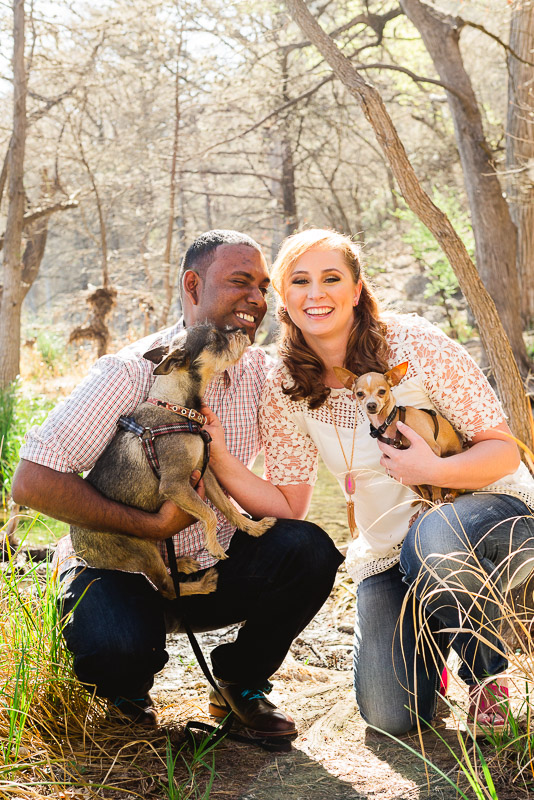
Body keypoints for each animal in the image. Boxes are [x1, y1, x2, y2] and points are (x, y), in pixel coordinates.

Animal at [71, 322, 278, 596]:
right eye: (216, 338)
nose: (242, 332)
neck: (177, 407)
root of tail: (79, 549)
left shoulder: (205, 473)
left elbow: (226, 506)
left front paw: (253, 528)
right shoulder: (176, 484)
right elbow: (209, 514)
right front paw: (214, 546)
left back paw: (183, 563)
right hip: (142, 551)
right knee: (168, 589)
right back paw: (202, 584)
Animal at [336, 362, 464, 506]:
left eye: (382, 391)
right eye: (359, 394)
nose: (371, 405)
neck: (390, 420)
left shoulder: (432, 450)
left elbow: (434, 483)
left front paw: (437, 499)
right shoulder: (409, 471)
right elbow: (423, 486)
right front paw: (426, 504)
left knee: (457, 489)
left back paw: (449, 496)